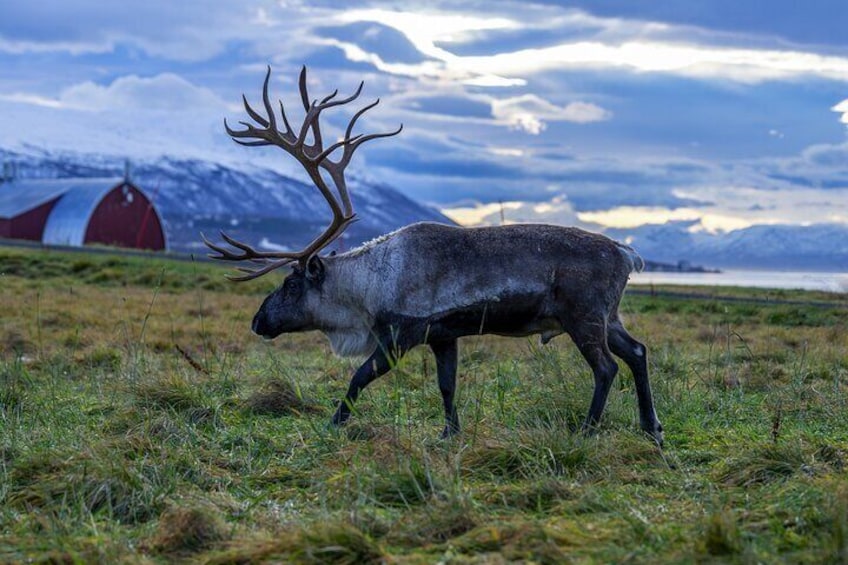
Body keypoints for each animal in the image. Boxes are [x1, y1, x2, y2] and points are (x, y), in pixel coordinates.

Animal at [204, 67, 664, 445]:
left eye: (291, 283)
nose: (258, 321)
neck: (370, 284)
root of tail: (626, 254)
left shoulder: (400, 334)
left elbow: (359, 376)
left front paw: (333, 423)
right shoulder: (444, 335)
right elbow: (447, 385)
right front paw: (449, 433)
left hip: (582, 316)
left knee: (606, 367)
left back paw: (588, 430)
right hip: (608, 316)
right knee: (637, 352)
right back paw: (651, 428)